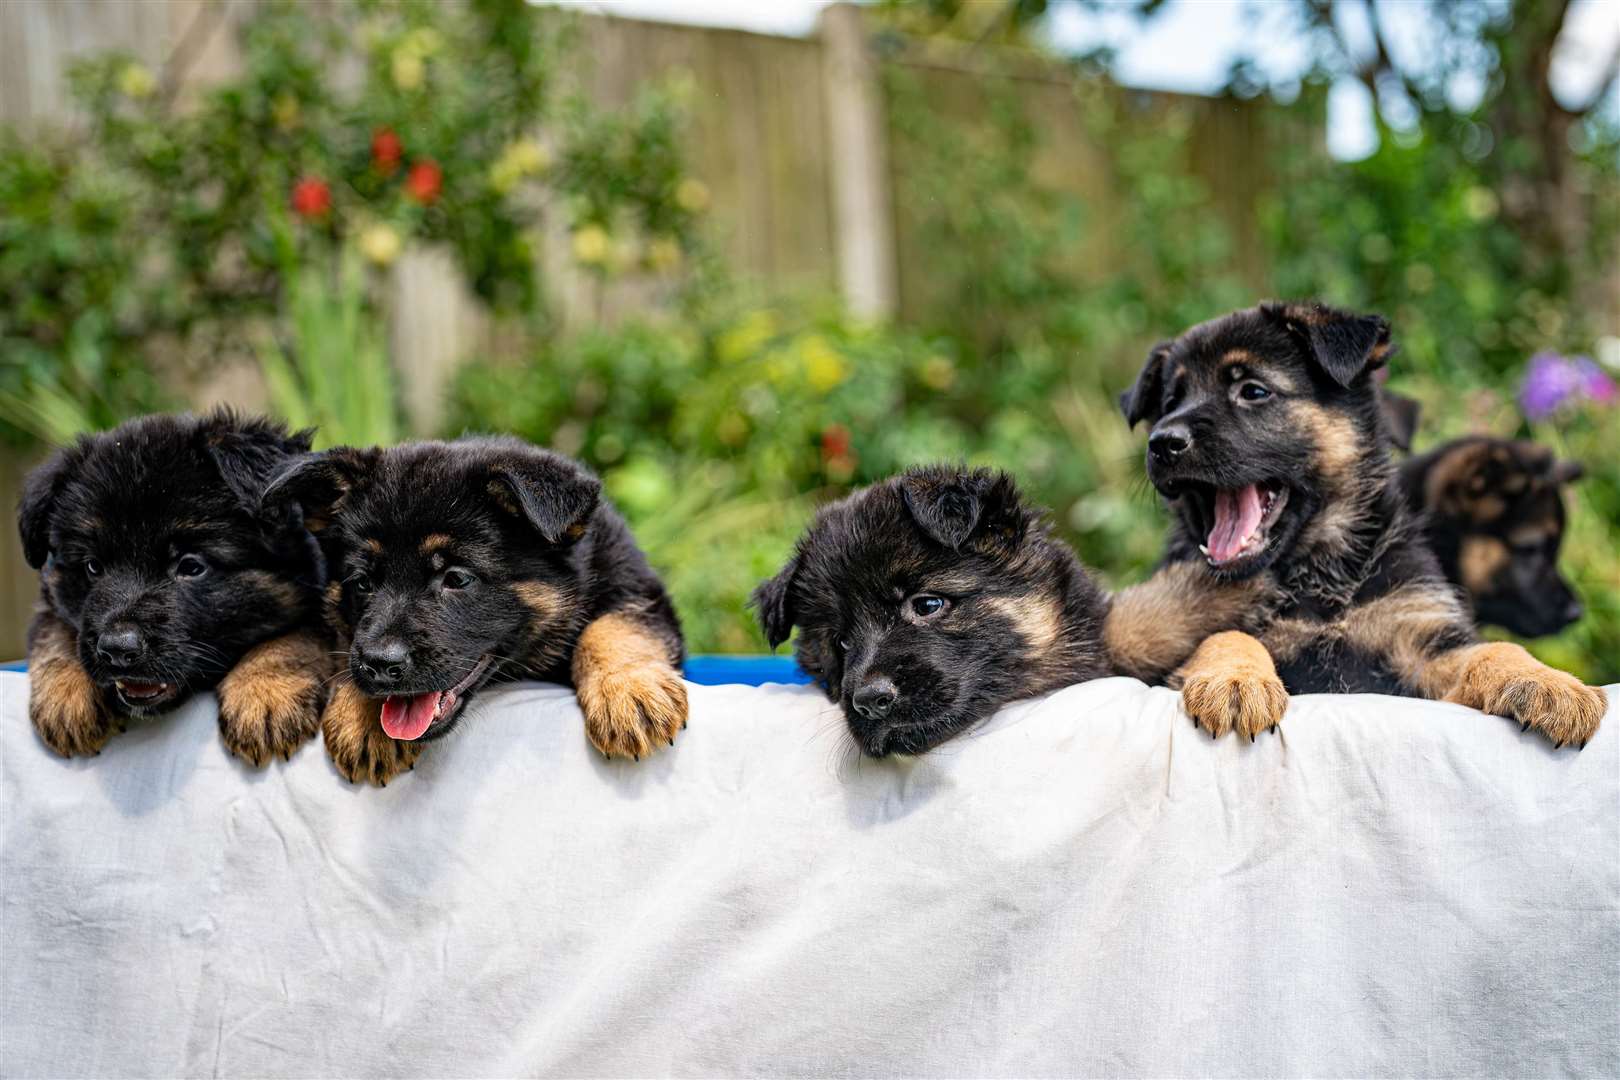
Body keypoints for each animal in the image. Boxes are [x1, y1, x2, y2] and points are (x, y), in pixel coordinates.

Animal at [17, 409, 328, 764]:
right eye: (93, 566)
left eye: (191, 566)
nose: (117, 650)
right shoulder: (51, 600)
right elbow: (54, 629)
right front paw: (66, 697)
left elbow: (293, 638)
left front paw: (265, 692)